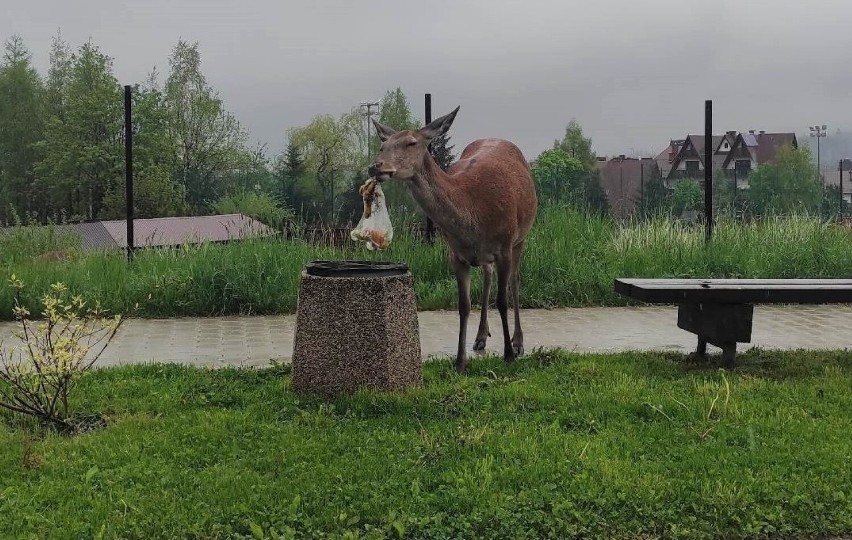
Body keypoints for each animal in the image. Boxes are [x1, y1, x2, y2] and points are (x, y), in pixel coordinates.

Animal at [370, 107, 536, 374]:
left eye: (411, 142)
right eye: (382, 145)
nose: (376, 166)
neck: (473, 213)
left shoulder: (505, 245)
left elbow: (502, 300)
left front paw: (509, 354)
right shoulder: (456, 255)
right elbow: (463, 305)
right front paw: (460, 362)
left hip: (521, 236)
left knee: (514, 282)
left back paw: (518, 341)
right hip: (486, 255)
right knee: (487, 276)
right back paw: (480, 337)